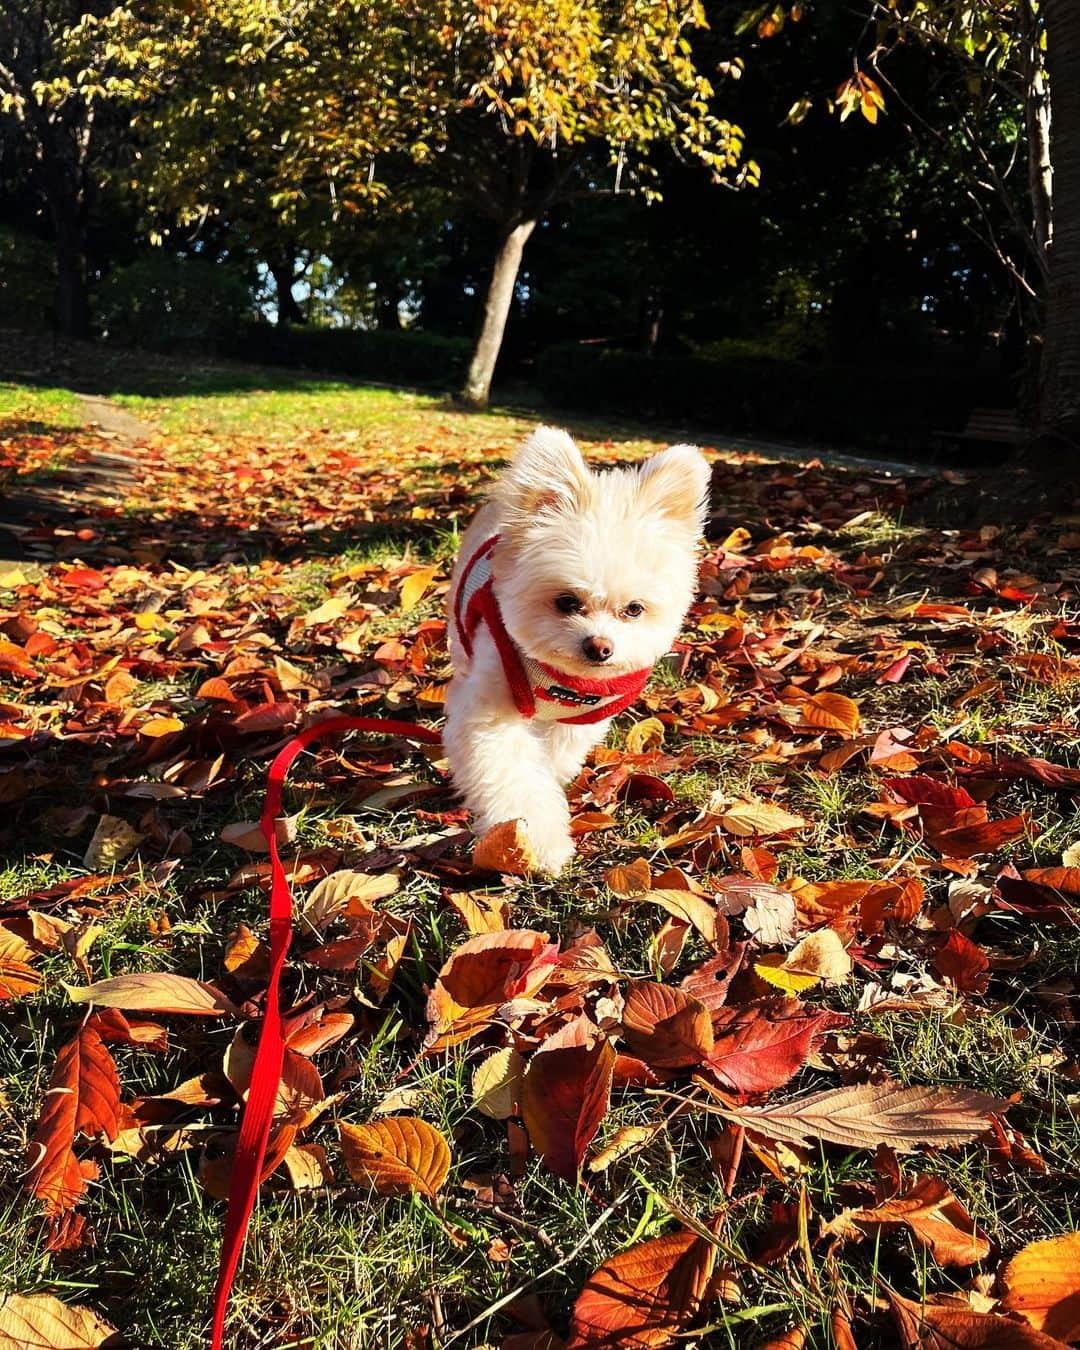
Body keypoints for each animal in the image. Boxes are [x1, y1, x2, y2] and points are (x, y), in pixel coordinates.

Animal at [442, 429, 712, 874]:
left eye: (633, 610)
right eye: (566, 602)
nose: (599, 647)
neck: (560, 679)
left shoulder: (579, 719)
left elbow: (553, 759)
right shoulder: (488, 714)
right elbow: (518, 779)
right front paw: (538, 841)